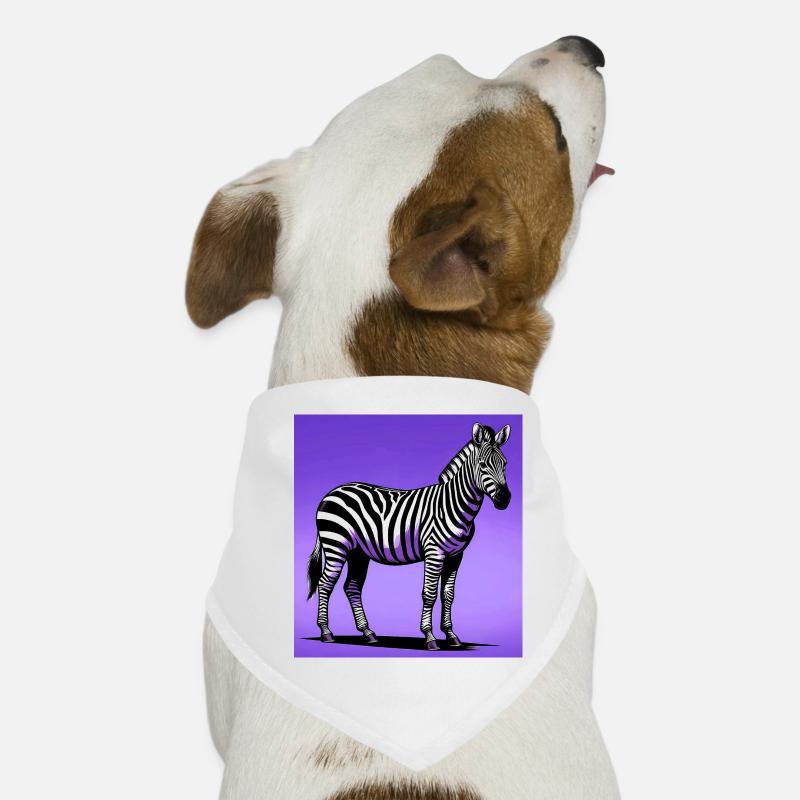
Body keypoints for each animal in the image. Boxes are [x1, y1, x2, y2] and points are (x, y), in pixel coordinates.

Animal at [307, 422, 511, 651]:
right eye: (483, 465)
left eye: (505, 464)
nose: (505, 499)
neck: (453, 504)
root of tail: (330, 493)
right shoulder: (434, 552)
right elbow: (429, 594)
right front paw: (430, 636)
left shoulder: (455, 555)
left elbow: (448, 595)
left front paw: (451, 635)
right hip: (336, 545)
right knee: (325, 584)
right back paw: (326, 632)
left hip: (358, 552)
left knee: (351, 587)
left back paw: (368, 633)